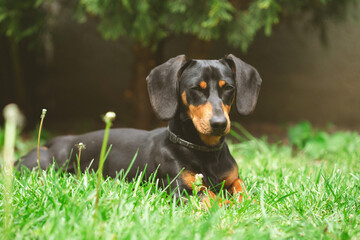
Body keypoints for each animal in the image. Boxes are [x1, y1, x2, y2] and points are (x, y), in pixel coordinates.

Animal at [17, 54, 262, 206]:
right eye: (195, 88)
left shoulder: (233, 179)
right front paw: (227, 204)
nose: (219, 123)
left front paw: (252, 202)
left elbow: (241, 188)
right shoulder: (180, 188)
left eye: (228, 88)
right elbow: (208, 194)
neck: (204, 152)